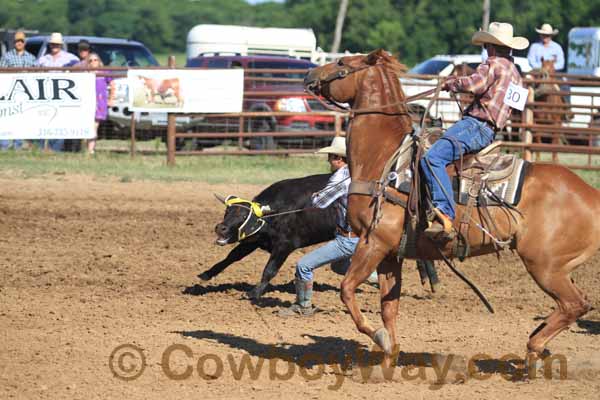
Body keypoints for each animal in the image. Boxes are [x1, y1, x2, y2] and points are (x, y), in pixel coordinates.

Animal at [304, 50, 600, 362]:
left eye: (341, 63)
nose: (309, 75)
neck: (384, 156)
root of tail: (591, 193)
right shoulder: (390, 252)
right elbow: (389, 308)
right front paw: (389, 355)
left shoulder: (373, 242)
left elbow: (347, 290)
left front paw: (378, 337)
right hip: (558, 268)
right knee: (576, 304)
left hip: (545, 266)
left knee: (576, 304)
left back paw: (535, 345)